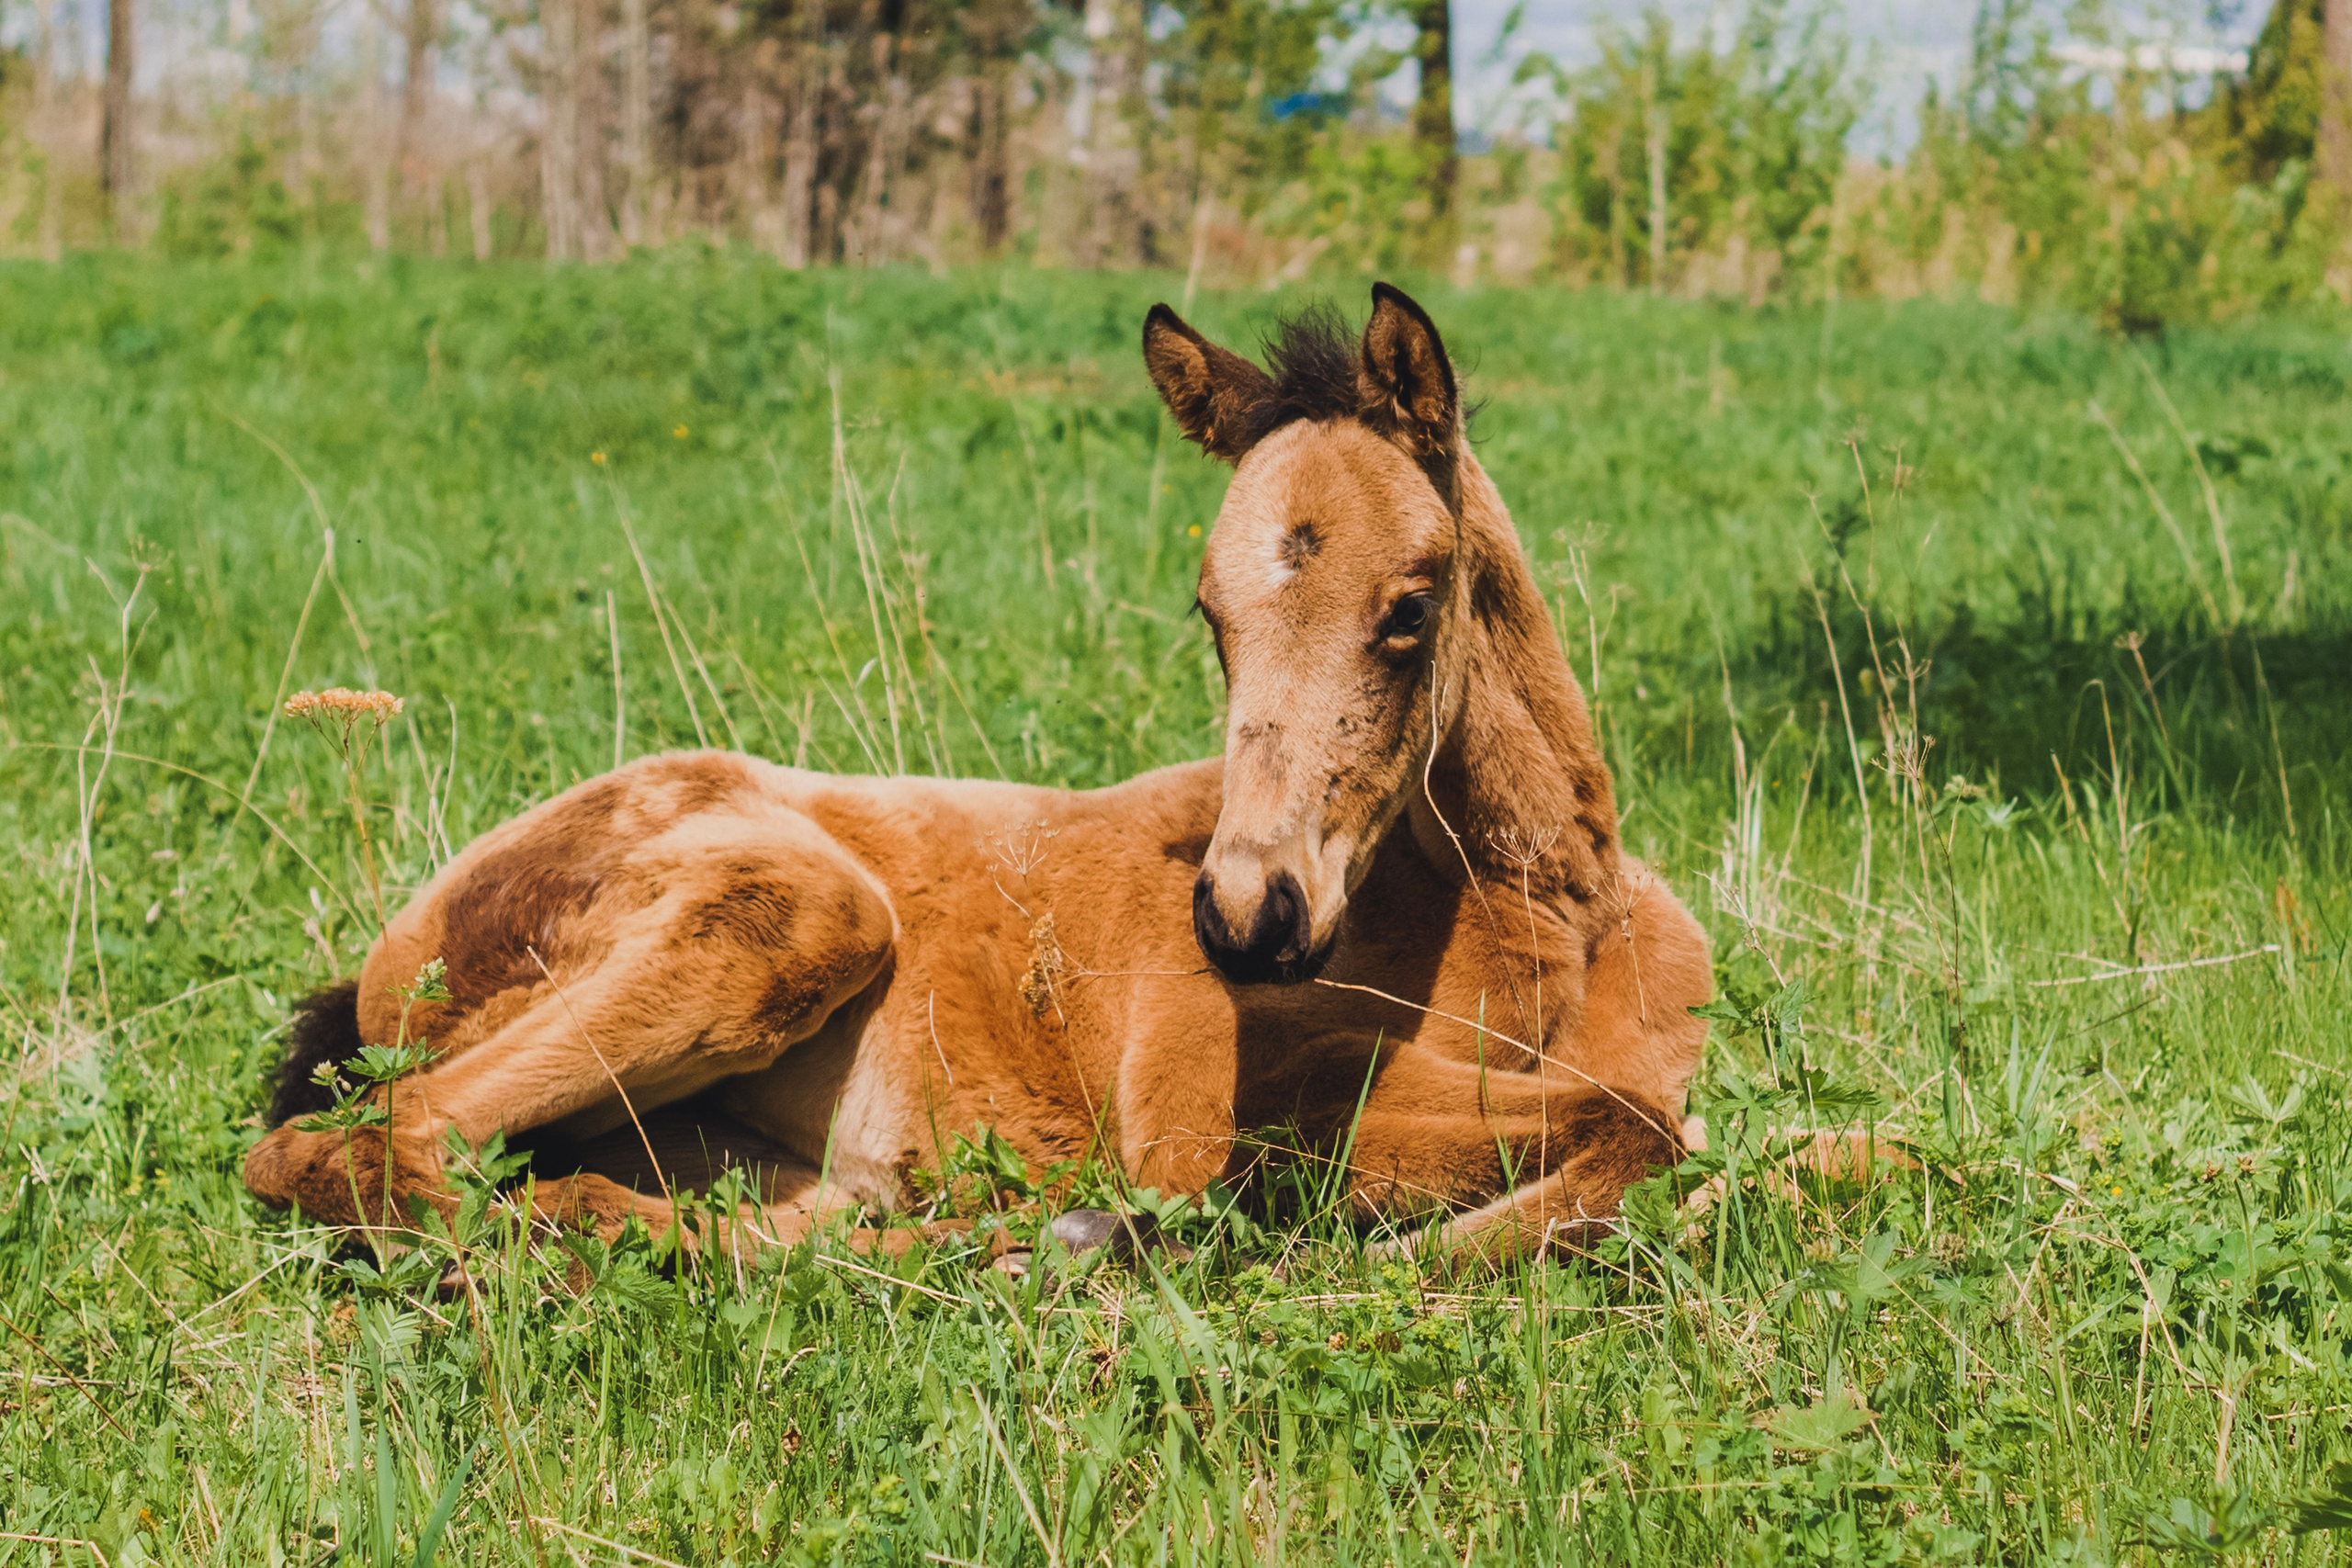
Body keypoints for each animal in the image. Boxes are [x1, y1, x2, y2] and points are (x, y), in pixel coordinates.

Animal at [243, 282, 1713, 1261]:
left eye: (1409, 608)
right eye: (1211, 615)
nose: (1249, 917)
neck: (1547, 931)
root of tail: (376, 967)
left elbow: (1693, 1142)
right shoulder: (1202, 1109)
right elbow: (1632, 1120)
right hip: (796, 913)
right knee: (369, 1148)